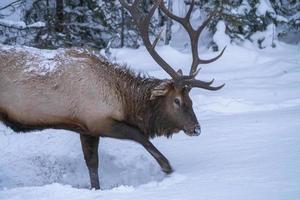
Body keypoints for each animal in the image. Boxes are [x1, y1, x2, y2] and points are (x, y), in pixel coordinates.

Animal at [0, 0, 225, 190]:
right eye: (177, 101)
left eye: (191, 100)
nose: (196, 128)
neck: (124, 101)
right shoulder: (97, 120)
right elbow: (139, 135)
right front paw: (167, 166)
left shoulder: (86, 128)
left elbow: (92, 164)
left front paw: (96, 189)